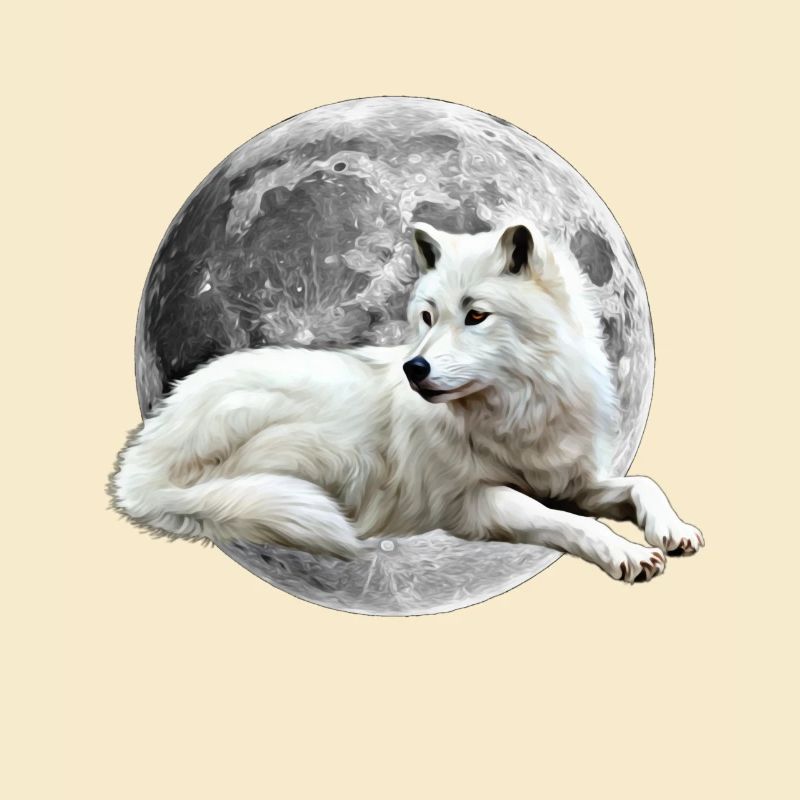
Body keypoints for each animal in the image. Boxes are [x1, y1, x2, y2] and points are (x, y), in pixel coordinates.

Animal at [110, 220, 703, 583]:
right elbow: (568, 522)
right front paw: (627, 552)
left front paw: (672, 530)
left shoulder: (570, 480)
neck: (515, 408)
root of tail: (142, 456)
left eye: (476, 315)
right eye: (427, 316)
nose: (413, 369)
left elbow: (642, 484)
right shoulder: (473, 503)